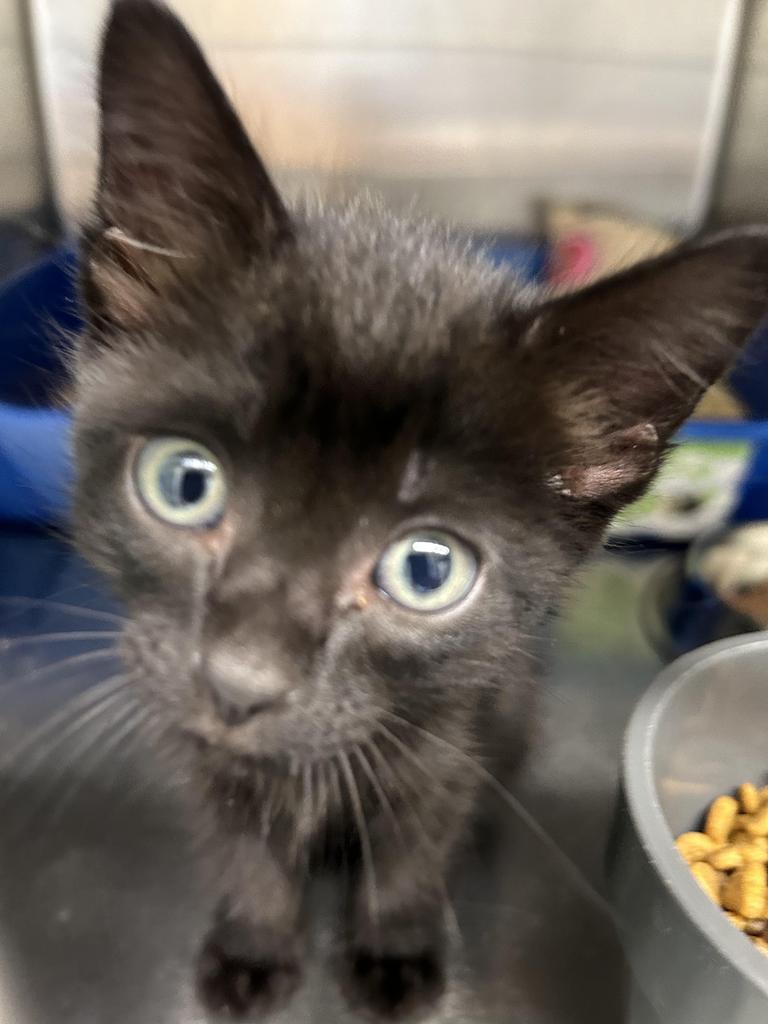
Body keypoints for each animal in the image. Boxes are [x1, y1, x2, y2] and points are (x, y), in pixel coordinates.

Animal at [69, 4, 768, 1019]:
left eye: (427, 571)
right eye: (185, 482)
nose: (239, 683)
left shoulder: (449, 741)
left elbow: (412, 848)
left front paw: (398, 951)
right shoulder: (202, 757)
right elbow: (246, 853)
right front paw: (251, 947)